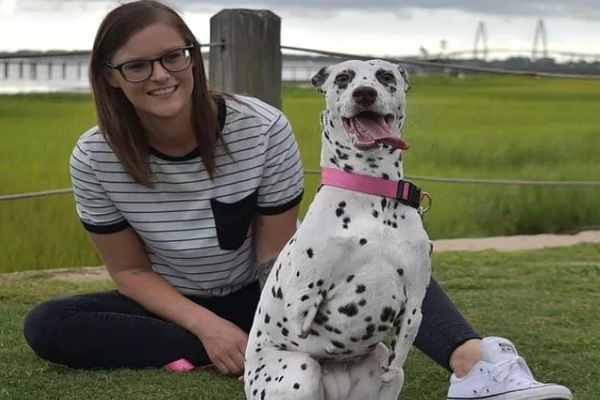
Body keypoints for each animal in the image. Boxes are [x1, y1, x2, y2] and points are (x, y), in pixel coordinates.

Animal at [244, 60, 432, 400]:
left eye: (386, 75)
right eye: (343, 78)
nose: (364, 93)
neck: (373, 195)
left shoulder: (414, 302)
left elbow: (401, 347)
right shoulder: (302, 297)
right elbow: (306, 323)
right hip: (299, 370)